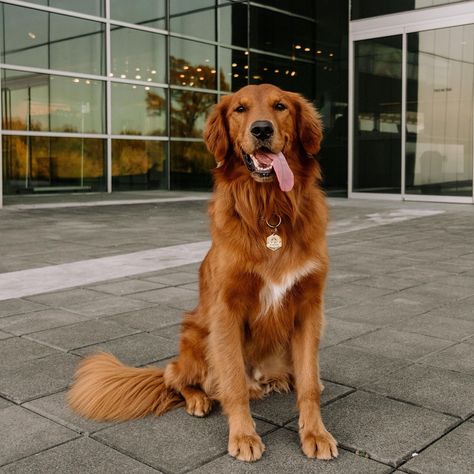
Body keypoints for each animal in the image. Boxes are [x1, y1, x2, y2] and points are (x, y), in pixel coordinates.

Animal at [69, 83, 336, 462]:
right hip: (196, 334)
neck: (269, 211)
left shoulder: (310, 306)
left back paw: (282, 380)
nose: (262, 130)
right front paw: (243, 436)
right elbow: (233, 384)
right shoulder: (226, 309)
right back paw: (198, 399)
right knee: (176, 377)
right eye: (240, 109)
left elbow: (310, 384)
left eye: (281, 106)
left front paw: (315, 432)